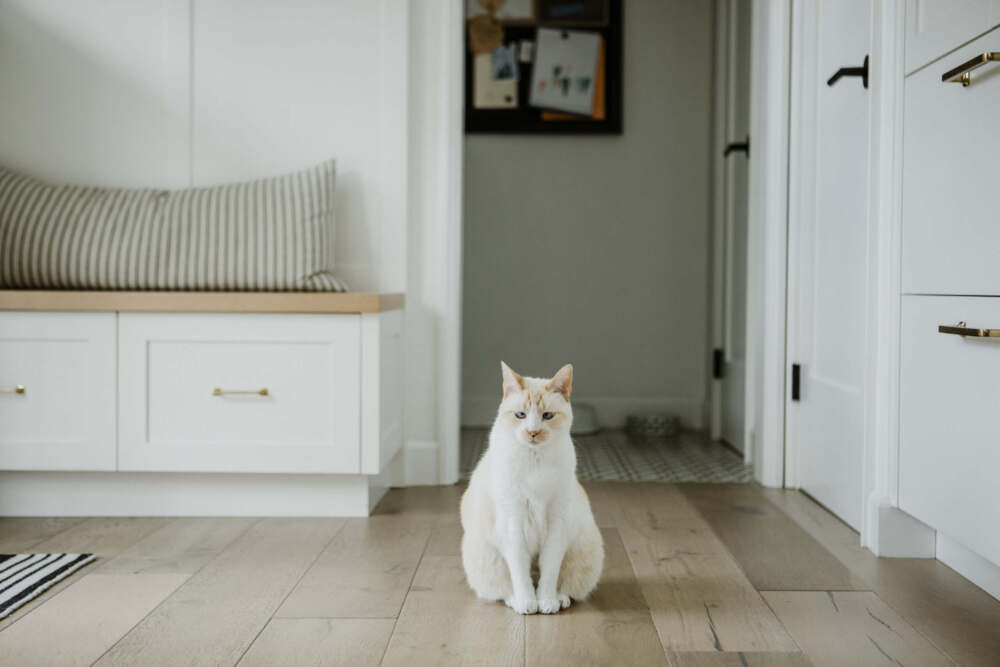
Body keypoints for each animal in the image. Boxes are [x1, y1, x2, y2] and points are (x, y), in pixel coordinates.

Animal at [458, 366, 600, 616]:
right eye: (520, 415)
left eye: (548, 416)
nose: (533, 432)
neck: (535, 460)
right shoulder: (513, 523)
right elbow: (520, 572)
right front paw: (527, 602)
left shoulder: (557, 523)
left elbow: (550, 569)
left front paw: (546, 601)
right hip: (486, 557)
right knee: (503, 588)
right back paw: (516, 600)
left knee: (564, 585)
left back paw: (559, 599)